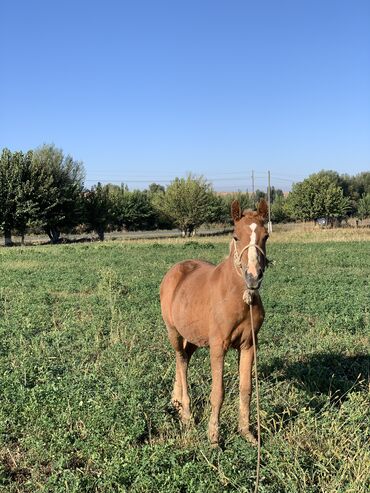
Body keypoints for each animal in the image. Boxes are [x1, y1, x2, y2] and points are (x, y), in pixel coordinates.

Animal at [159, 198, 268, 444]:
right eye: (236, 236)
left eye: (266, 236)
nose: (253, 276)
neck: (237, 296)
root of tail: (174, 271)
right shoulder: (218, 346)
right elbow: (218, 392)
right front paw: (214, 436)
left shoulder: (248, 344)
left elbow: (246, 389)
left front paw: (247, 433)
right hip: (173, 332)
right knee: (181, 360)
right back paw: (186, 413)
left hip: (193, 337)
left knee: (183, 359)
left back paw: (176, 402)